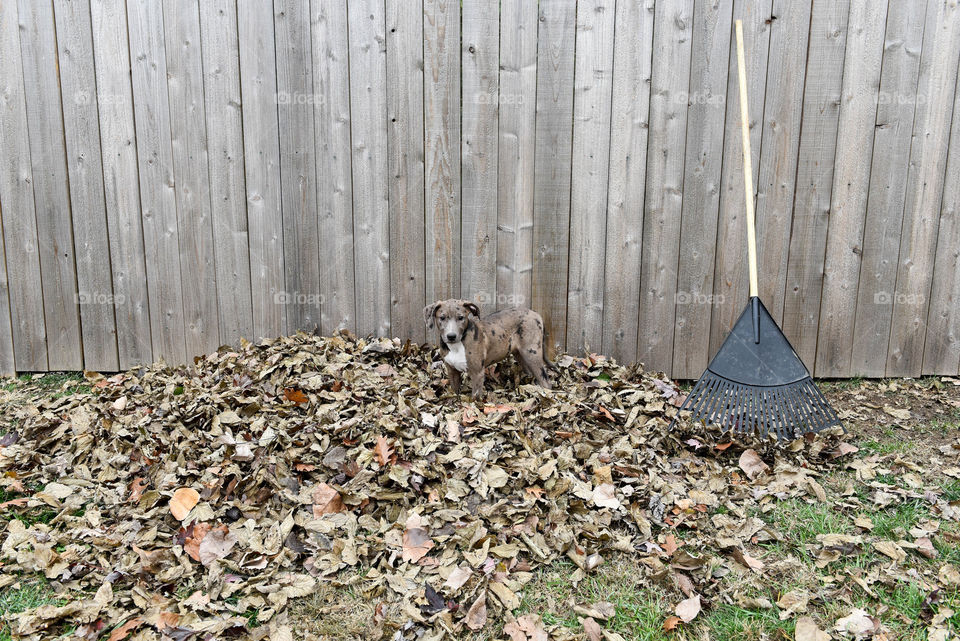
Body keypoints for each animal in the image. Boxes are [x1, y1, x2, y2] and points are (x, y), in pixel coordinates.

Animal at [422, 298, 552, 398]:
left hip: (532, 353)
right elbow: (455, 392)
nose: (451, 336)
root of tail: (536, 314)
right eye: (442, 318)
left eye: (461, 318)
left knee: (545, 381)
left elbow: (475, 398)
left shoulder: (477, 373)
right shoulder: (452, 371)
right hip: (520, 354)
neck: (457, 345)